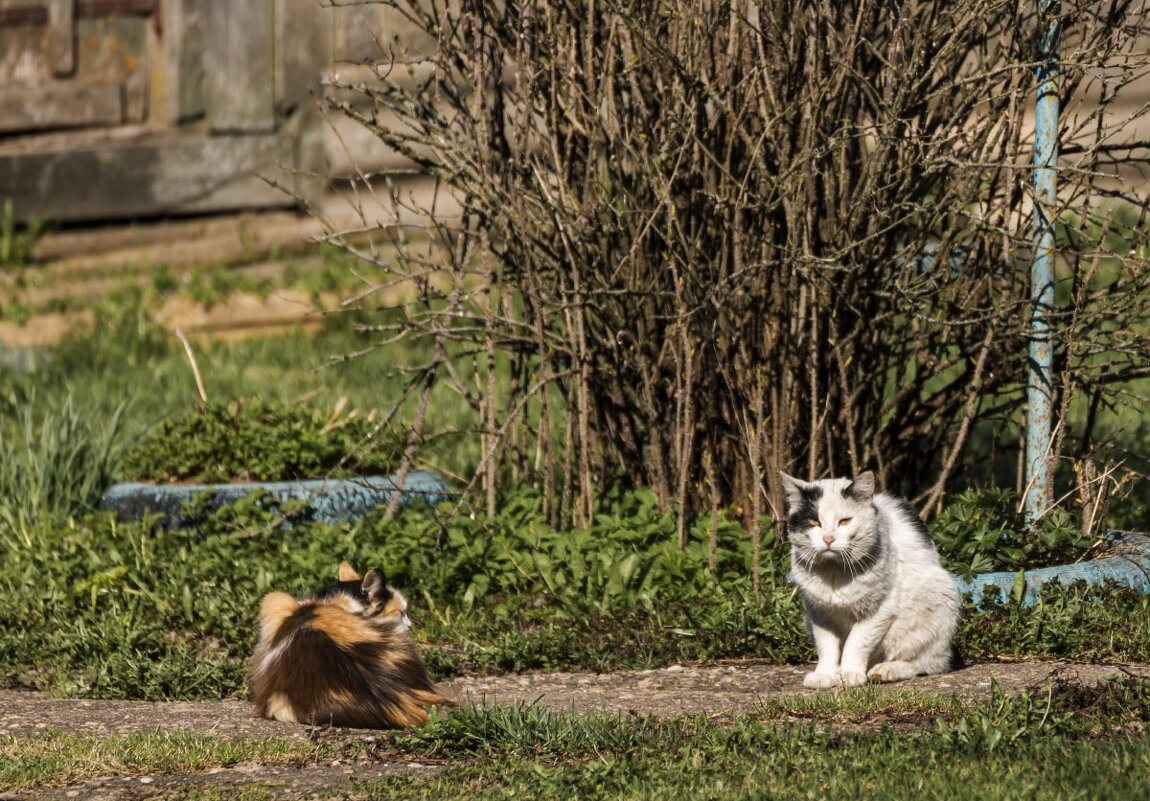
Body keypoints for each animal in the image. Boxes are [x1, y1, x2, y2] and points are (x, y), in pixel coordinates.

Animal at [782, 468, 961, 689]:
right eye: (814, 522)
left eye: (844, 521)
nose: (828, 539)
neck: (835, 574)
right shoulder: (819, 613)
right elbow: (827, 646)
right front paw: (825, 674)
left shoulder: (880, 609)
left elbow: (857, 642)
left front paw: (849, 674)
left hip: (937, 594)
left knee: (925, 664)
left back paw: (886, 670)